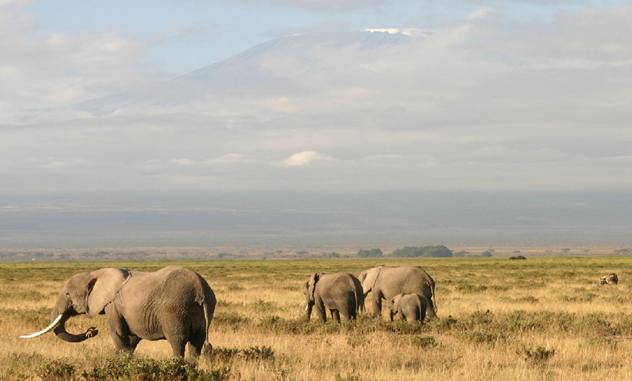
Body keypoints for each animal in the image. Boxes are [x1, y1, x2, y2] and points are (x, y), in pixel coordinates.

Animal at [20, 266, 217, 358]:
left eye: (68, 294)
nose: (92, 330)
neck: (95, 273)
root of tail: (199, 287)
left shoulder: (112, 305)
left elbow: (118, 334)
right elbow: (131, 337)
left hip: (174, 310)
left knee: (178, 343)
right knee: (196, 346)